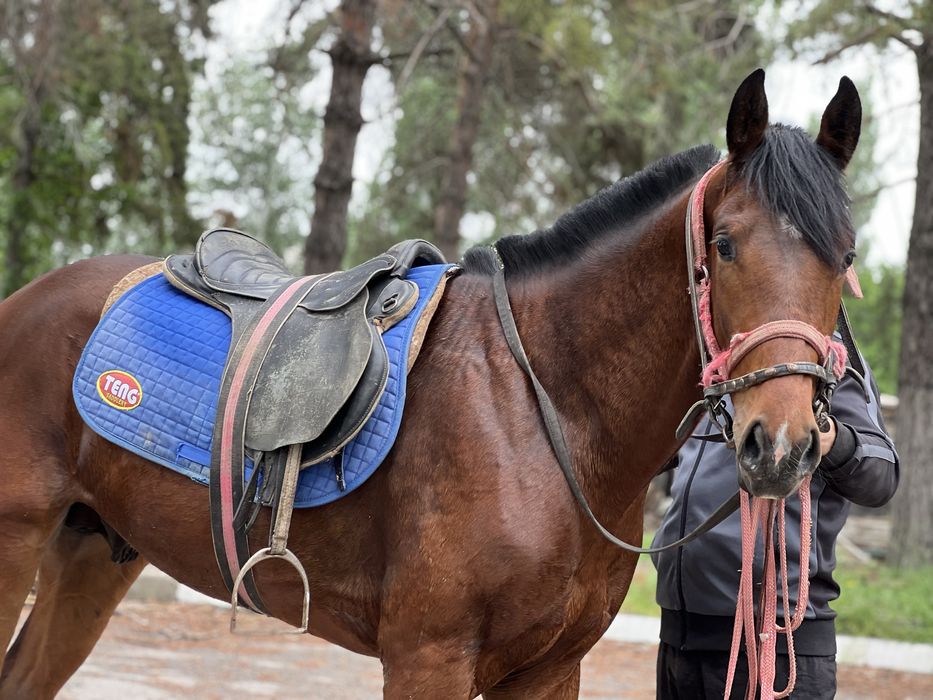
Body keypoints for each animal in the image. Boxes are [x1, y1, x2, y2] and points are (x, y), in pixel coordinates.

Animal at [0, 69, 861, 698]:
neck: (546, 414)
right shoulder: (428, 657)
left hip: (92, 553)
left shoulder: (548, 670)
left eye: (845, 255)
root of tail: (28, 300)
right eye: (725, 243)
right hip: (18, 543)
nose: (781, 444)